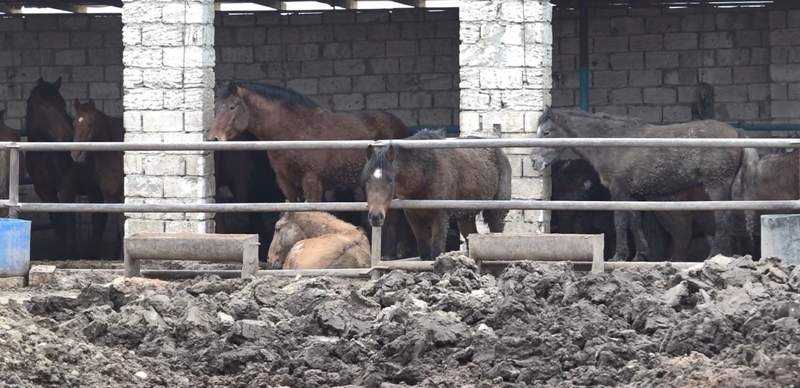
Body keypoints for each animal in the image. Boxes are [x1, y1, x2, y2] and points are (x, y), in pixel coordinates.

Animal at [362, 129, 512, 260]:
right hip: (466, 216)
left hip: (496, 212)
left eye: (390, 180)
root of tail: (501, 153)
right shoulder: (413, 217)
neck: (425, 172)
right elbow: (424, 252)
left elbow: (436, 251)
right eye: (366, 179)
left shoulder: (440, 216)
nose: (375, 217)